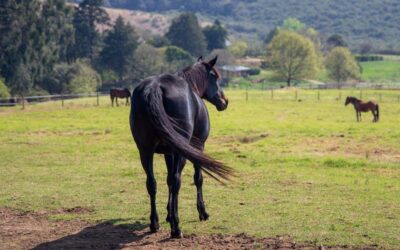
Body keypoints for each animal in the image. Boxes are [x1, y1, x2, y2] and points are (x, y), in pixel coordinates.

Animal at [130, 56, 233, 238]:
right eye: (215, 77)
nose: (224, 101)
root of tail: (154, 88)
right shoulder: (197, 147)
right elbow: (197, 178)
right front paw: (202, 212)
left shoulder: (168, 153)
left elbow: (168, 180)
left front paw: (168, 214)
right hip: (180, 151)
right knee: (177, 180)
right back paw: (176, 228)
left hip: (145, 151)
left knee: (152, 183)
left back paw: (154, 223)